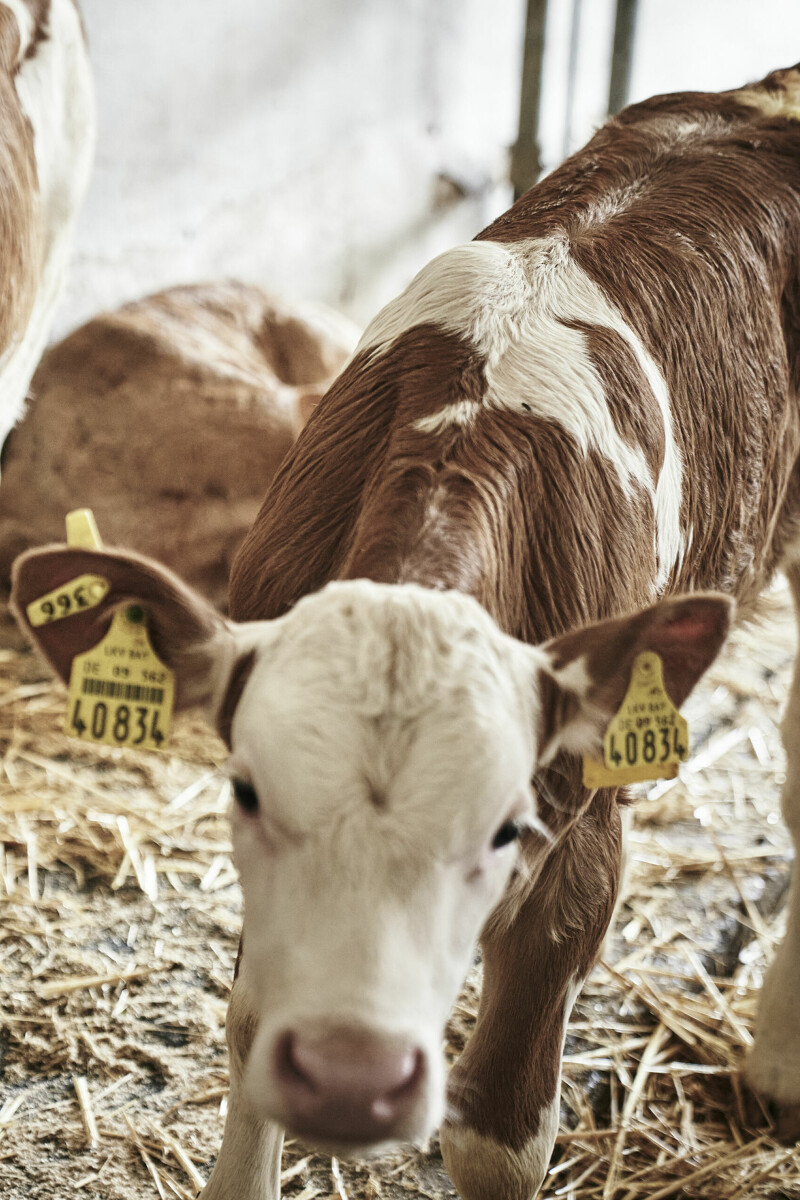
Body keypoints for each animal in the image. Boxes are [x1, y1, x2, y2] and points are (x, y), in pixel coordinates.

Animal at [10, 63, 800, 1200]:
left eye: (503, 827)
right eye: (249, 793)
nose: (354, 1075)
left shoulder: (583, 841)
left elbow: (497, 1136)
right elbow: (252, 1027)